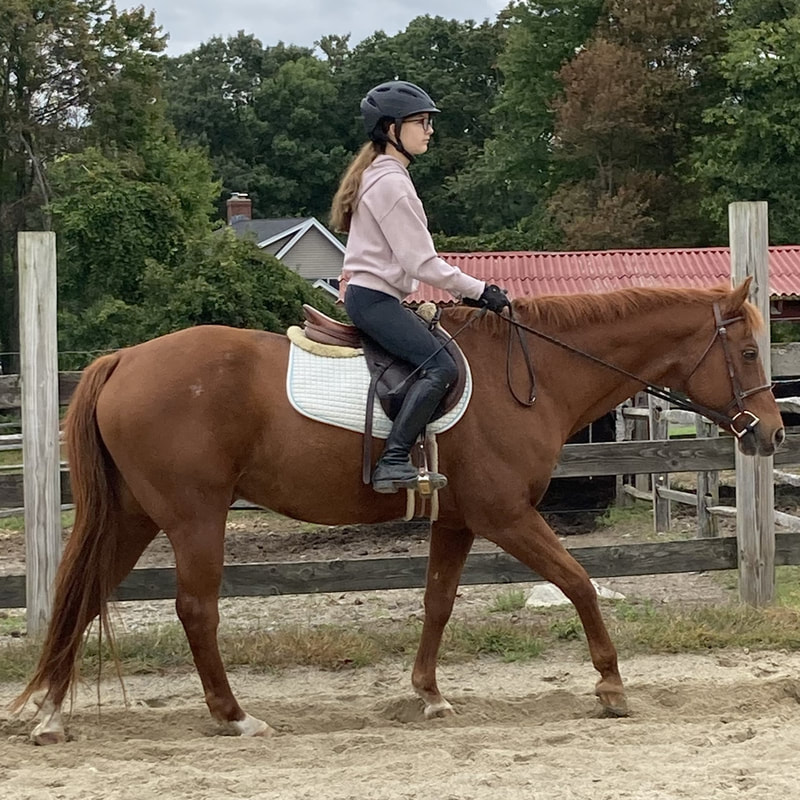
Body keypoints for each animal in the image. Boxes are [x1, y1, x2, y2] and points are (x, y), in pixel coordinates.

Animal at [15, 282, 784, 744]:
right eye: (748, 349)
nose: (772, 434)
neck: (528, 377)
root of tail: (124, 360)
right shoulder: (506, 516)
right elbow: (579, 582)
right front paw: (611, 684)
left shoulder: (458, 520)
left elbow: (437, 602)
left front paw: (429, 695)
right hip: (194, 517)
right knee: (195, 611)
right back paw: (234, 716)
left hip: (136, 515)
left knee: (85, 595)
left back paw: (50, 712)